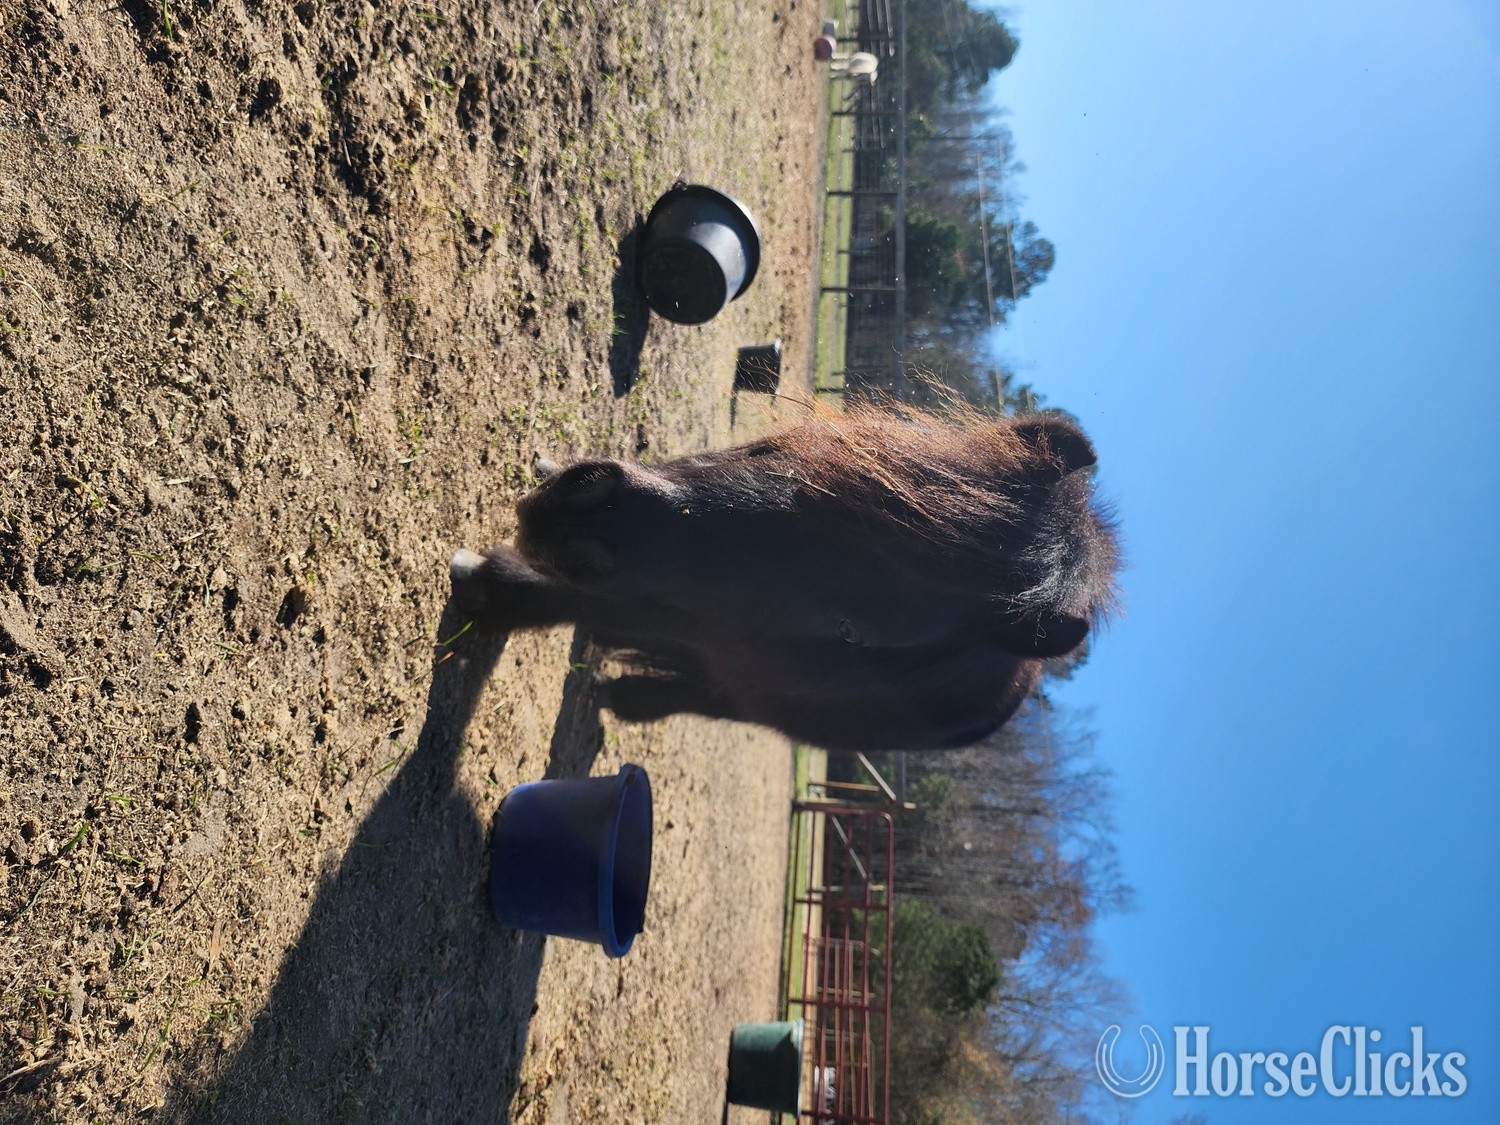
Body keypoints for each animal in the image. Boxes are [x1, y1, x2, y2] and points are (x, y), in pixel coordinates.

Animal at [449, 407, 1119, 751]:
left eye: (850, 629)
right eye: (781, 455)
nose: (580, 518)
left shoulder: (685, 612)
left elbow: (578, 602)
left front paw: (491, 590)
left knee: (710, 698)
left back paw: (627, 698)